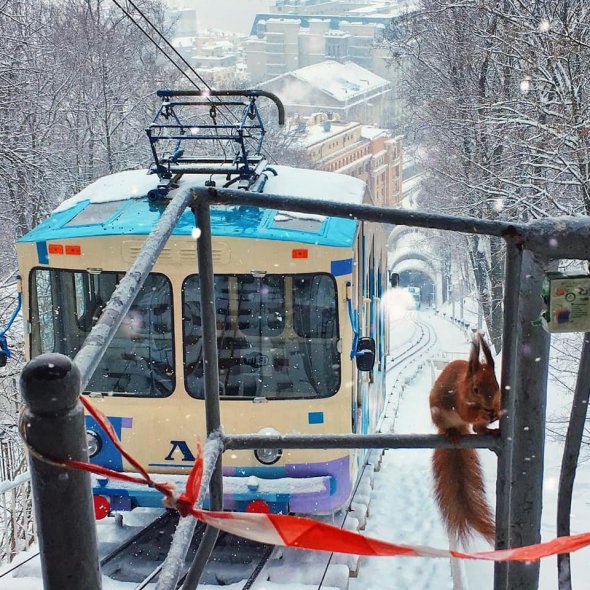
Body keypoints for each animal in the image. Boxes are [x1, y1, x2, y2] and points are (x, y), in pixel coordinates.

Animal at [432, 332, 502, 544]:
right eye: (476, 389)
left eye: (497, 385)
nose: (489, 407)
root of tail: (458, 427)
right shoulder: (459, 399)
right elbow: (468, 412)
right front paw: (482, 413)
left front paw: (496, 413)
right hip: (440, 416)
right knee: (457, 425)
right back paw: (453, 433)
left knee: (477, 429)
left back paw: (489, 430)